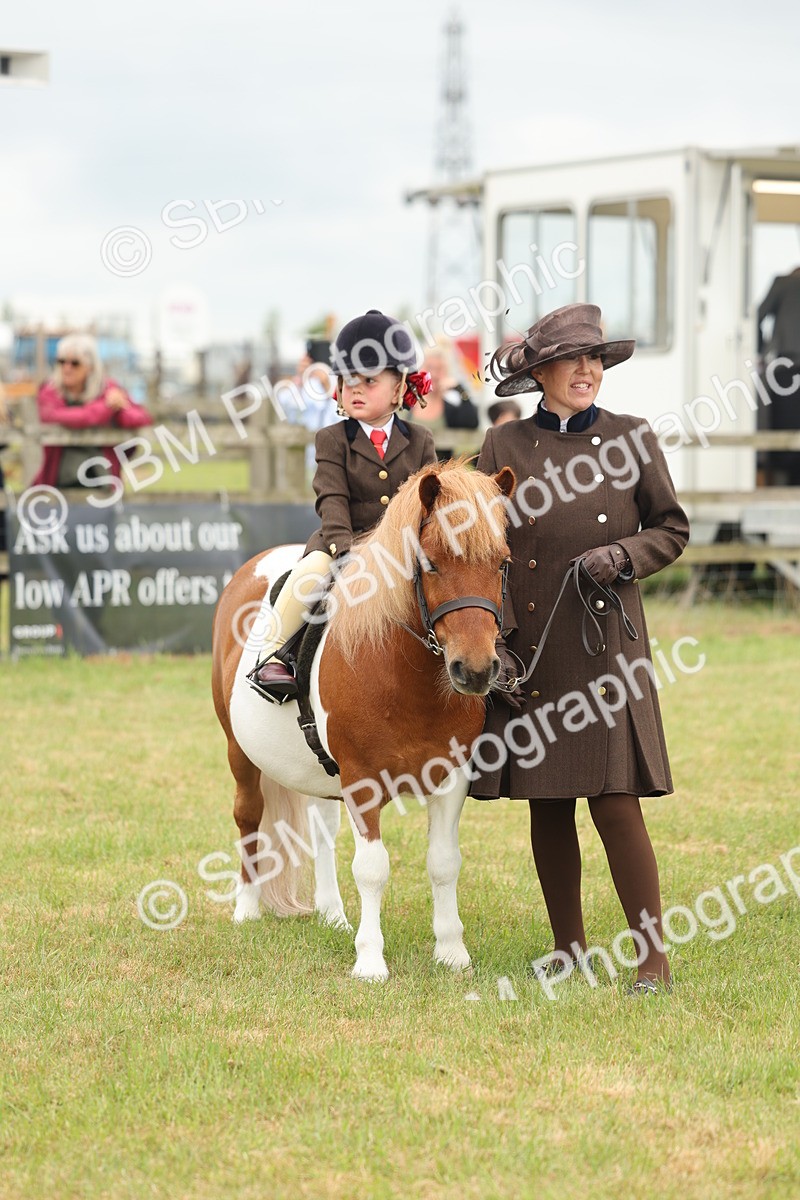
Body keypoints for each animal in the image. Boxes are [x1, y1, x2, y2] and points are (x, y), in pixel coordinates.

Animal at [211, 459, 515, 980]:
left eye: (501, 563)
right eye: (431, 562)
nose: (475, 670)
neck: (404, 677)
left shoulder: (452, 777)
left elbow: (444, 862)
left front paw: (452, 952)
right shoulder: (362, 780)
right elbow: (372, 868)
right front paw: (371, 960)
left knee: (321, 829)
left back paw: (332, 914)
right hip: (239, 752)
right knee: (248, 817)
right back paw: (246, 907)